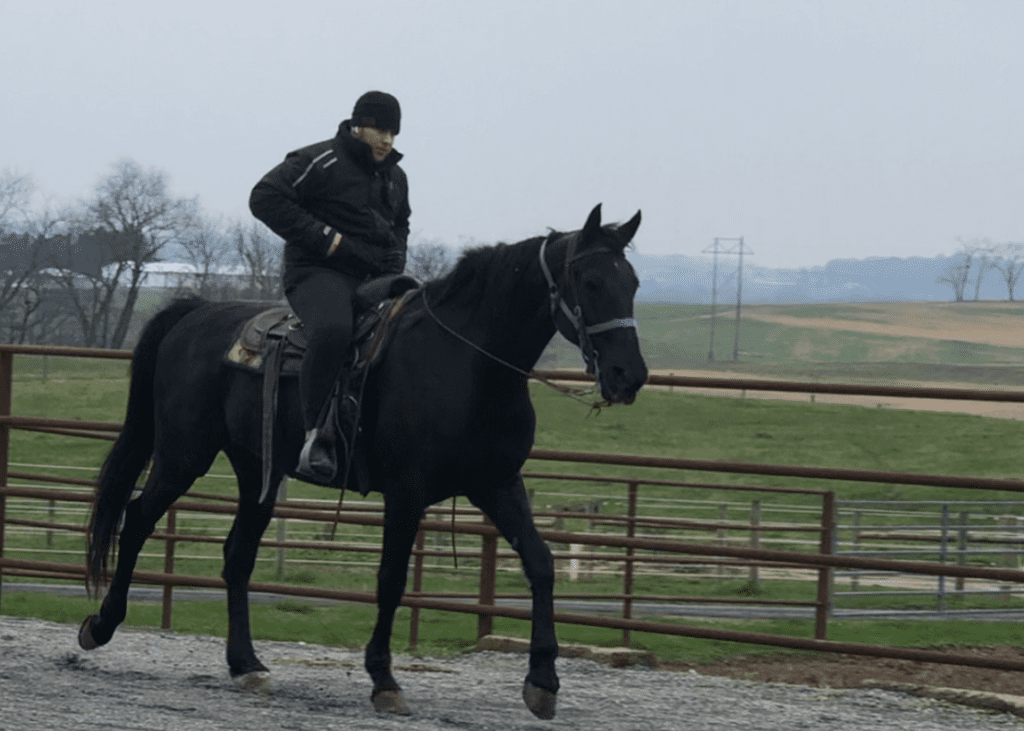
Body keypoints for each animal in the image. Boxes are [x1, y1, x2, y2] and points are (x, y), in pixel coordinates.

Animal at [79, 204, 648, 720]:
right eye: (589, 281)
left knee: (237, 554)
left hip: (256, 470)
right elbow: (391, 579)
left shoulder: (498, 483)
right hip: (183, 455)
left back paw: (246, 665)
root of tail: (195, 312)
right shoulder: (407, 492)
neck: (468, 363)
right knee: (137, 519)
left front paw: (543, 680)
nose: (630, 375)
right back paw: (100, 626)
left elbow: (541, 563)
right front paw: (383, 679)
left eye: (634, 283)